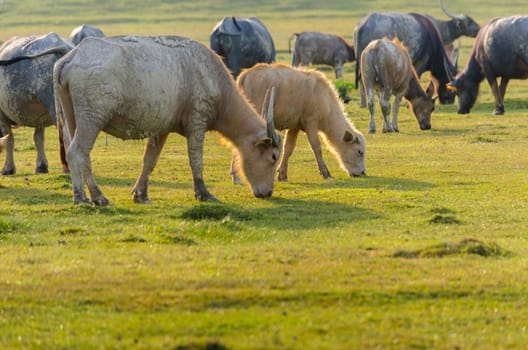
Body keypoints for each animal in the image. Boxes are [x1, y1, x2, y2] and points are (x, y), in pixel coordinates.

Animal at [0, 32, 72, 175]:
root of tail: (61, 45)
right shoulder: (39, 118)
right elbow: (39, 139)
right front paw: (41, 166)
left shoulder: (2, 115)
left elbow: (9, 139)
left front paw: (8, 169)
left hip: (56, 108)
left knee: (66, 135)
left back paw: (68, 168)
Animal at [54, 35, 282, 205]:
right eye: (273, 157)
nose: (269, 192)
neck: (213, 80)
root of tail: (72, 57)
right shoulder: (197, 124)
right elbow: (196, 160)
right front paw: (203, 193)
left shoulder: (161, 129)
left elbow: (149, 160)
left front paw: (141, 194)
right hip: (92, 118)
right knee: (77, 152)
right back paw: (83, 197)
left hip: (73, 118)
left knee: (84, 156)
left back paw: (96, 196)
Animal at [233, 63, 366, 183]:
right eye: (360, 152)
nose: (362, 173)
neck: (326, 100)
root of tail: (246, 75)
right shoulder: (311, 123)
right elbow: (316, 147)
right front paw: (326, 173)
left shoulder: (294, 127)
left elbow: (288, 149)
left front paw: (282, 175)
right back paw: (237, 177)